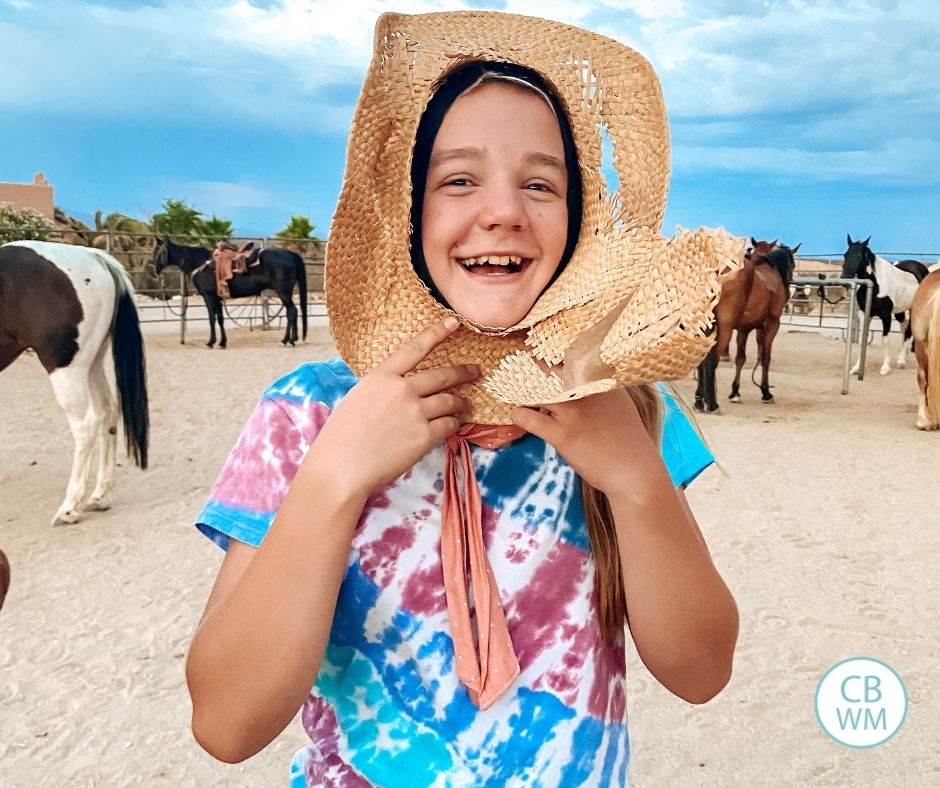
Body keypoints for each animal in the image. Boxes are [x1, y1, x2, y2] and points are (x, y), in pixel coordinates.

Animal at [0, 239, 149, 524]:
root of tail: (92, 255)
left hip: (67, 369)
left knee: (85, 425)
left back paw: (69, 508)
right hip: (91, 364)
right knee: (108, 413)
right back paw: (99, 496)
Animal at [152, 235, 308, 350]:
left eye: (156, 252)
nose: (154, 271)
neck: (200, 264)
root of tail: (290, 254)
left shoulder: (209, 297)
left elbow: (212, 319)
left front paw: (211, 342)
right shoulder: (218, 299)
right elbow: (220, 319)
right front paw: (222, 342)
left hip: (284, 292)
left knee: (292, 312)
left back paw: (289, 340)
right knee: (291, 312)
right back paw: (289, 339)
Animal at [692, 235, 800, 410]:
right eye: (793, 265)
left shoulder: (744, 329)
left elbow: (740, 358)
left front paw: (735, 392)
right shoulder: (772, 325)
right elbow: (765, 358)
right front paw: (766, 392)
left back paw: (699, 400)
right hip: (726, 328)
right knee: (713, 358)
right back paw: (712, 404)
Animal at [840, 234, 928, 376]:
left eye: (859, 256)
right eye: (845, 254)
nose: (845, 277)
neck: (876, 285)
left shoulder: (885, 316)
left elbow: (885, 339)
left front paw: (885, 367)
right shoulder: (865, 314)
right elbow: (862, 339)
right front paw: (856, 367)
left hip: (913, 309)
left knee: (909, 329)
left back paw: (901, 361)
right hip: (899, 311)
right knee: (904, 326)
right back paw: (904, 356)